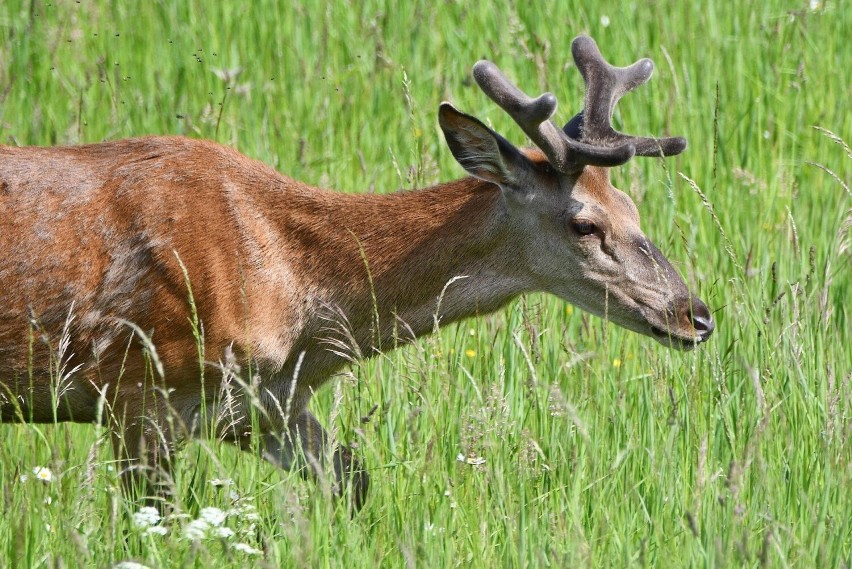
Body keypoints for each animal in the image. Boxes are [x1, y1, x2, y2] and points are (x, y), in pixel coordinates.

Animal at [1, 36, 712, 510]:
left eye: (634, 208)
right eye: (584, 224)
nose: (695, 314)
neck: (293, 294)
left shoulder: (268, 406)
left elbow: (358, 483)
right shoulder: (136, 390)